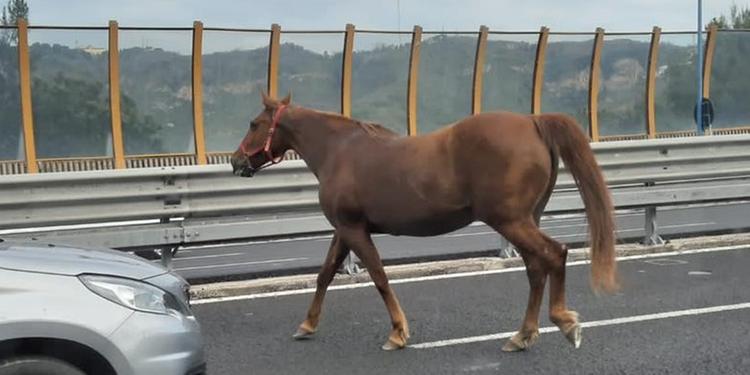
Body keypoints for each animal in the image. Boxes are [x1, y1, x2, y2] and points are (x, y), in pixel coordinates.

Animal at [232, 93, 620, 352]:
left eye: (253, 124)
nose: (236, 162)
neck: (339, 151)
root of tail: (532, 122)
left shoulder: (354, 229)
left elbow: (379, 277)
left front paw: (397, 333)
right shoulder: (344, 230)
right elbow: (325, 274)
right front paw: (307, 324)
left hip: (511, 221)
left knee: (554, 254)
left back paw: (565, 323)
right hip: (524, 220)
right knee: (536, 268)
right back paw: (522, 335)